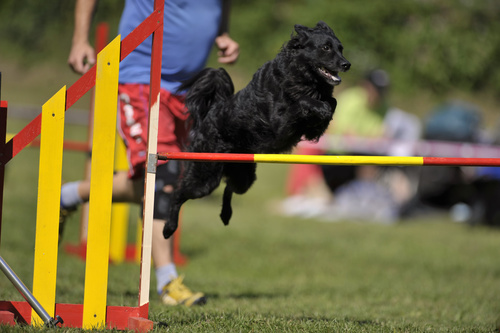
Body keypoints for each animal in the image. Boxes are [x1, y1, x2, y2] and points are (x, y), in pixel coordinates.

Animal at [162, 20, 350, 237]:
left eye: (340, 48)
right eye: (325, 48)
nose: (347, 64)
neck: (299, 75)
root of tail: (209, 115)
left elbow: (332, 101)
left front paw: (324, 114)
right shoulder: (280, 125)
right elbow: (304, 102)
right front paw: (320, 109)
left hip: (244, 176)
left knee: (229, 187)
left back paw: (225, 214)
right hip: (204, 176)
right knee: (177, 194)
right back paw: (169, 227)